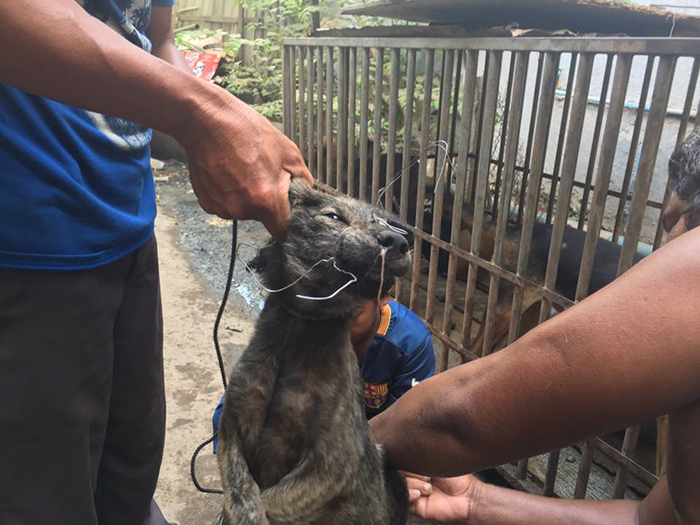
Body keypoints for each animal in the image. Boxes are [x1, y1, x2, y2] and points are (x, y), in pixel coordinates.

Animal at [215, 178, 410, 520]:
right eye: (333, 217)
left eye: (383, 221)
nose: (400, 241)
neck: (300, 332)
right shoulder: (231, 425)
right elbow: (241, 492)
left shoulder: (332, 464)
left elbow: (269, 501)